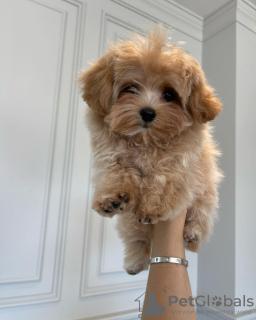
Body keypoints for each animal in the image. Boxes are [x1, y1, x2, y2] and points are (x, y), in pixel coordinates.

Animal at [79, 25, 223, 276]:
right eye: (130, 88)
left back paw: (192, 234)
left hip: (206, 193)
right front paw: (111, 198)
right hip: (130, 225)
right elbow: (116, 174)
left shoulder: (179, 166)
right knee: (137, 238)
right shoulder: (111, 157)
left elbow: (161, 182)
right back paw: (135, 263)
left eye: (169, 95)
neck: (145, 141)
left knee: (201, 216)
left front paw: (151, 208)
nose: (147, 112)